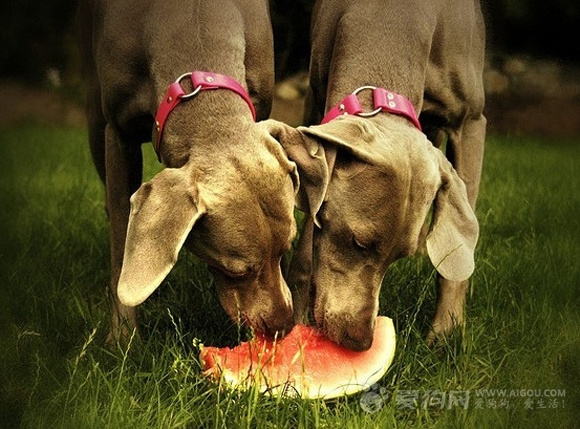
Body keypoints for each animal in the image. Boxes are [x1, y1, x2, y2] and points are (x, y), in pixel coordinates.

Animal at [78, 0, 300, 342]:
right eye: (235, 270)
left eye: (286, 247)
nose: (283, 328)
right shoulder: (118, 133)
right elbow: (120, 237)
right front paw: (123, 338)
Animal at [266, 0, 484, 350]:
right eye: (358, 242)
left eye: (399, 256)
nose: (361, 341)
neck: (393, 23)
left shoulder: (473, 121)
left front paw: (446, 332)